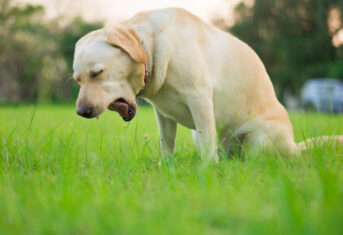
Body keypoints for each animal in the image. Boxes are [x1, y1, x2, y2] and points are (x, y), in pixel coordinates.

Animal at [72, 6, 342, 162]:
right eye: (78, 79)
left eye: (98, 73)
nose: (82, 112)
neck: (149, 46)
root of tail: (295, 147)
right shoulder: (163, 115)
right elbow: (166, 144)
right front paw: (166, 168)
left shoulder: (199, 98)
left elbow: (206, 144)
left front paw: (207, 171)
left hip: (259, 138)